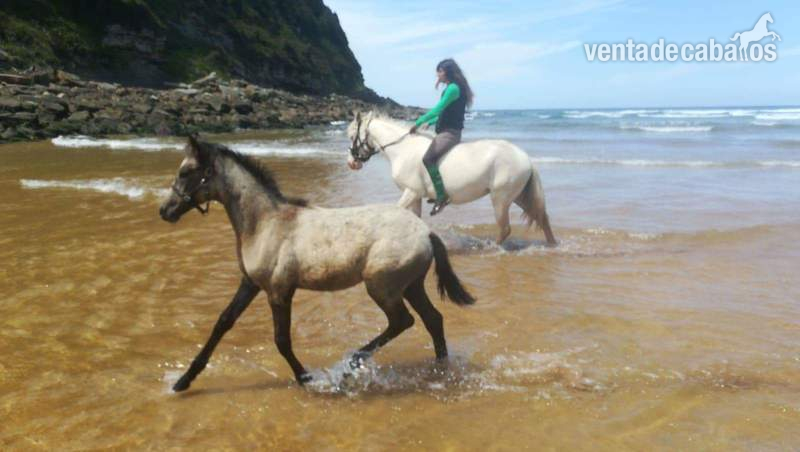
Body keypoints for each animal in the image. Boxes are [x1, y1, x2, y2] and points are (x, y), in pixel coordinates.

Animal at [159, 135, 475, 392]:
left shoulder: (279, 291)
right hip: (410, 285)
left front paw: (306, 378)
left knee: (402, 321)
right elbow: (222, 323)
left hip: (381, 286)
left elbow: (281, 340)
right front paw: (183, 381)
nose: (165, 211)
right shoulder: (250, 283)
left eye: (186, 172)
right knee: (433, 319)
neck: (265, 224)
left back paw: (351, 366)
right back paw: (440, 368)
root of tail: (427, 232)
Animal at [346, 111, 557, 246]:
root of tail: (525, 157)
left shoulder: (410, 192)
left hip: (501, 198)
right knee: (542, 218)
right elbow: (416, 220)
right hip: (518, 197)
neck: (402, 149)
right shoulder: (416, 196)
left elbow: (397, 210)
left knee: (505, 228)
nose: (351, 163)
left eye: (351, 136)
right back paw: (552, 245)